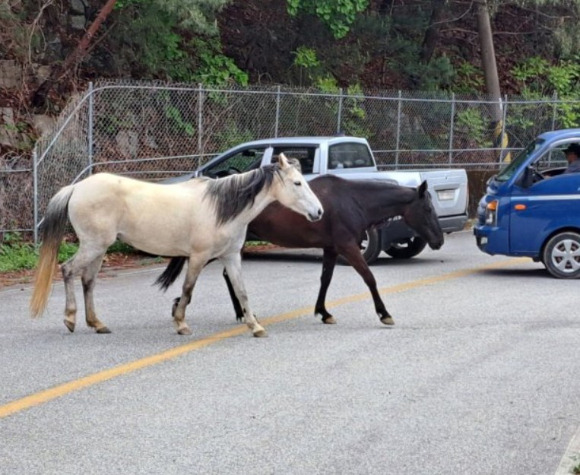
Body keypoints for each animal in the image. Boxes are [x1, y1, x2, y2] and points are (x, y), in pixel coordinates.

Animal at [30, 154, 322, 336]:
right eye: (297, 183)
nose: (318, 212)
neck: (221, 208)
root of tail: (77, 188)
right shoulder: (198, 257)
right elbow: (188, 290)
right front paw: (181, 323)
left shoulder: (231, 257)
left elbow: (242, 292)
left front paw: (255, 326)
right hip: (93, 246)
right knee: (68, 270)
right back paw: (70, 319)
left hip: (99, 249)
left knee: (88, 281)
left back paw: (97, 323)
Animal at [154, 175, 444, 328]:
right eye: (428, 209)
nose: (439, 240)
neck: (353, 201)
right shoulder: (348, 247)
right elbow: (369, 278)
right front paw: (384, 313)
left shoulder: (331, 248)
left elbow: (325, 280)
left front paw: (323, 312)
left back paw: (241, 313)